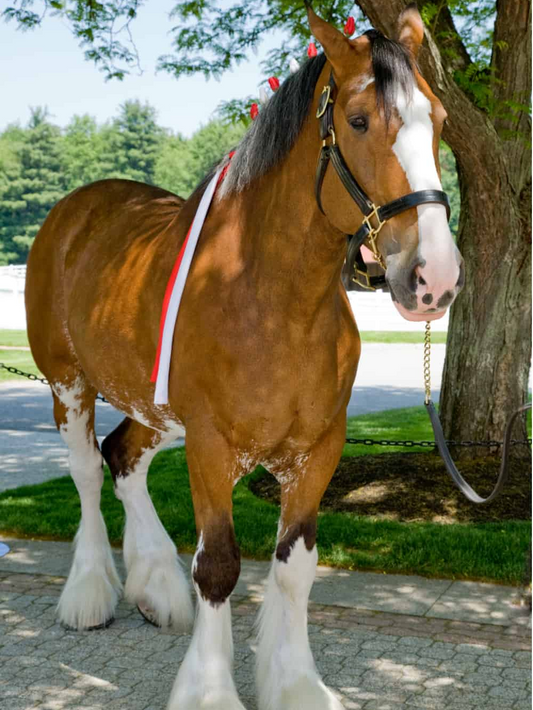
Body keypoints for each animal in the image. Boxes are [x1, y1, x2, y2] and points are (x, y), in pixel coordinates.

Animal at [25, 6, 464, 710]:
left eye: (441, 120)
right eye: (358, 120)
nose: (434, 277)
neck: (271, 298)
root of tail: (77, 208)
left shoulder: (318, 450)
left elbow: (293, 569)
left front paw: (297, 684)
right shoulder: (209, 444)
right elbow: (219, 566)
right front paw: (208, 689)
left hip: (151, 403)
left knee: (124, 459)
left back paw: (156, 585)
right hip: (69, 383)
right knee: (90, 473)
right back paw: (90, 593)